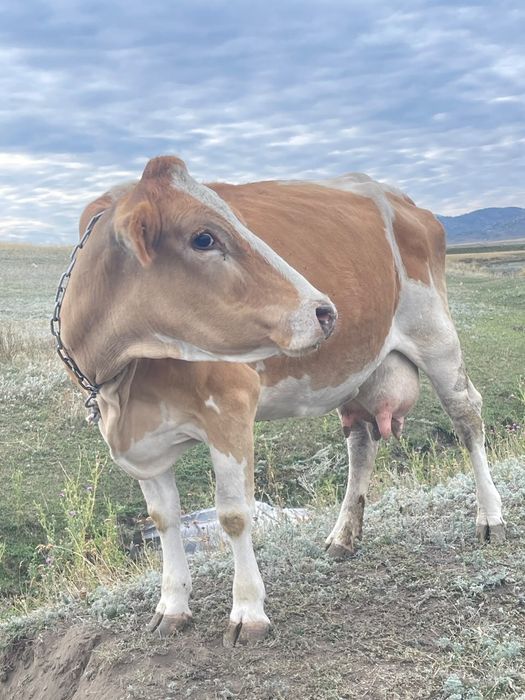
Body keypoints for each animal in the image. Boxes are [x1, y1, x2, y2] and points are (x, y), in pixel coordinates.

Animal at [58, 156, 505, 646]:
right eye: (203, 237)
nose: (324, 311)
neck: (121, 385)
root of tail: (400, 198)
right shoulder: (142, 437)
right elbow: (163, 518)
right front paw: (172, 606)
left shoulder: (230, 407)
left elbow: (234, 515)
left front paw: (248, 611)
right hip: (359, 369)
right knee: (362, 442)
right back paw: (343, 536)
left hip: (437, 334)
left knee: (467, 417)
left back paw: (490, 516)